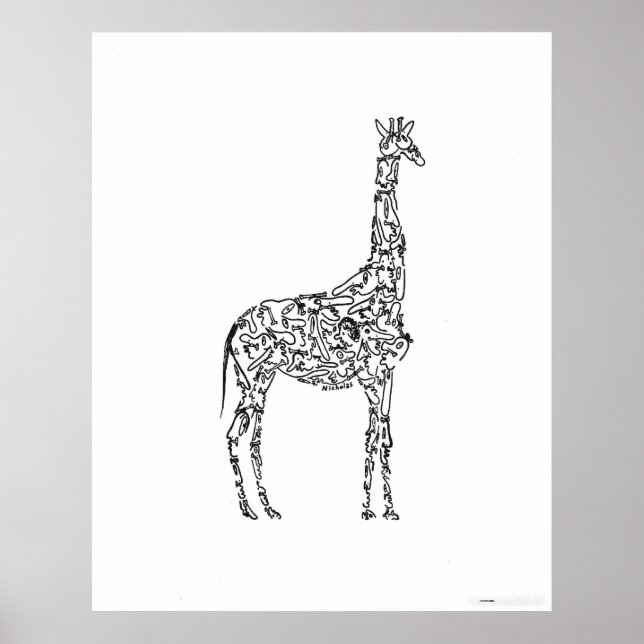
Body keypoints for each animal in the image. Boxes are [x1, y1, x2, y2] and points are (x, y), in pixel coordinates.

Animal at [222, 117, 425, 520]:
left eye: (409, 140)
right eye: (395, 142)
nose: (420, 156)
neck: (385, 288)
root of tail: (232, 329)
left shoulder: (386, 375)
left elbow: (381, 438)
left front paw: (383, 509)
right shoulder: (370, 376)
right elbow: (373, 438)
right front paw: (372, 509)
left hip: (262, 379)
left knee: (252, 436)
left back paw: (268, 509)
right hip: (251, 380)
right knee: (235, 435)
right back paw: (249, 510)